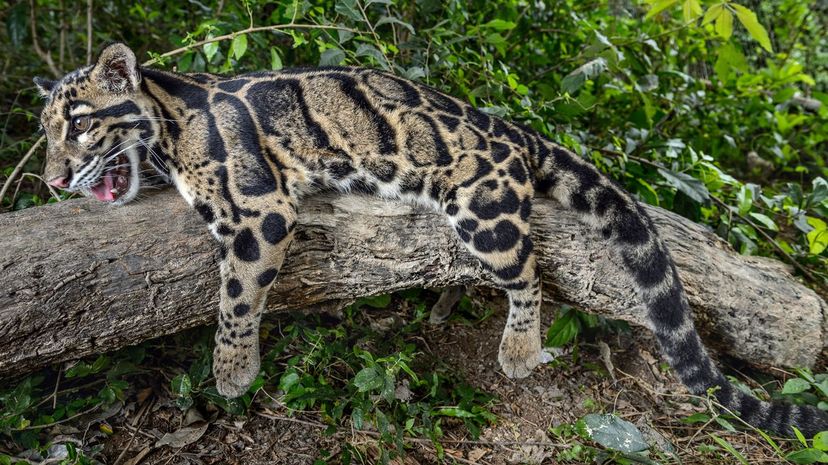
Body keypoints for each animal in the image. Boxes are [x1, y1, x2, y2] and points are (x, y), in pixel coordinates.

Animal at [34, 42, 828, 436]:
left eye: (78, 123)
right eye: (45, 131)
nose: (50, 178)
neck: (167, 120)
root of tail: (511, 128)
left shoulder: (260, 209)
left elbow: (234, 296)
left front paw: (232, 370)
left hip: (484, 211)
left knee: (529, 274)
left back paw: (518, 349)